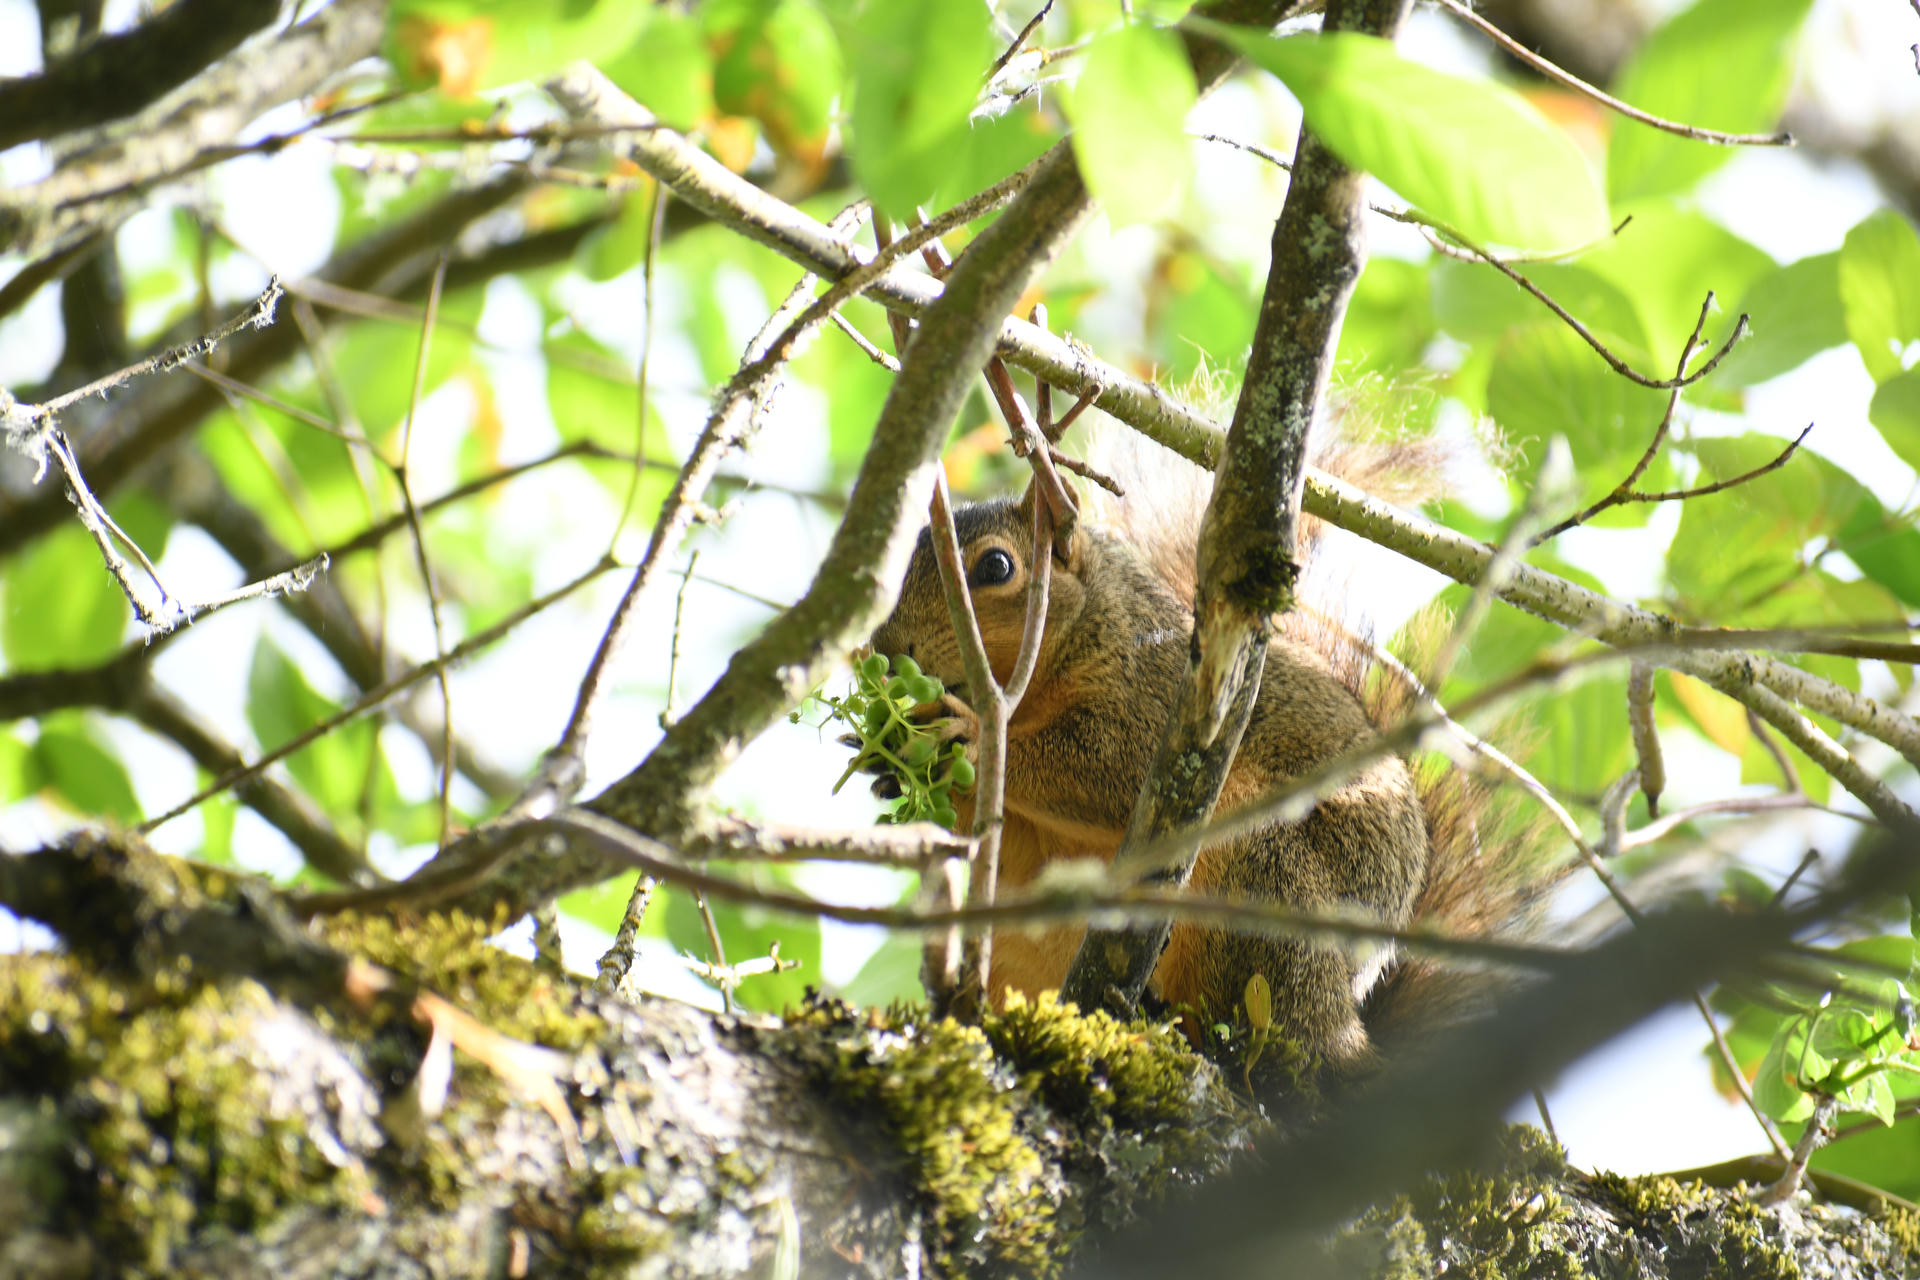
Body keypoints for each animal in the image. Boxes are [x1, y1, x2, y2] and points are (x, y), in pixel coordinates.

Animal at [861, 424, 1541, 1075]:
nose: (887, 651)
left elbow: (1110, 766)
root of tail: (1346, 1016)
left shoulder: (1159, 693)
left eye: (996, 567)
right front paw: (887, 765)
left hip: (1261, 884)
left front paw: (970, 738)